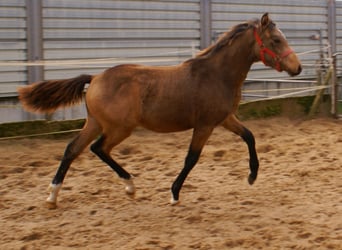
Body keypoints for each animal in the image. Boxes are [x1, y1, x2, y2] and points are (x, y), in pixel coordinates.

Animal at [18, 13, 302, 207]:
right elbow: (191, 158)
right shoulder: (205, 125)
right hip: (119, 128)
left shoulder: (225, 118)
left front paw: (252, 176)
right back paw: (129, 185)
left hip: (96, 123)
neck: (217, 74)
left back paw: (53, 195)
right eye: (276, 40)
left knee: (73, 149)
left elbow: (249, 136)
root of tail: (96, 78)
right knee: (98, 148)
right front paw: (174, 193)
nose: (297, 68)